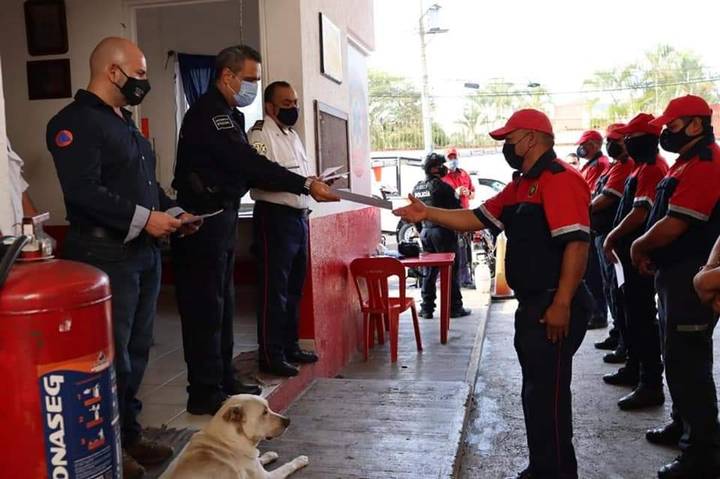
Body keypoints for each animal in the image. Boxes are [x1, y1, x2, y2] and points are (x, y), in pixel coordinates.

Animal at [169, 396, 310, 478]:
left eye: (268, 408)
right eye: (264, 412)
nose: (288, 421)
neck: (229, 440)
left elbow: (259, 459)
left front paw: (268, 455)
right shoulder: (267, 477)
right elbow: (287, 466)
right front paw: (299, 460)